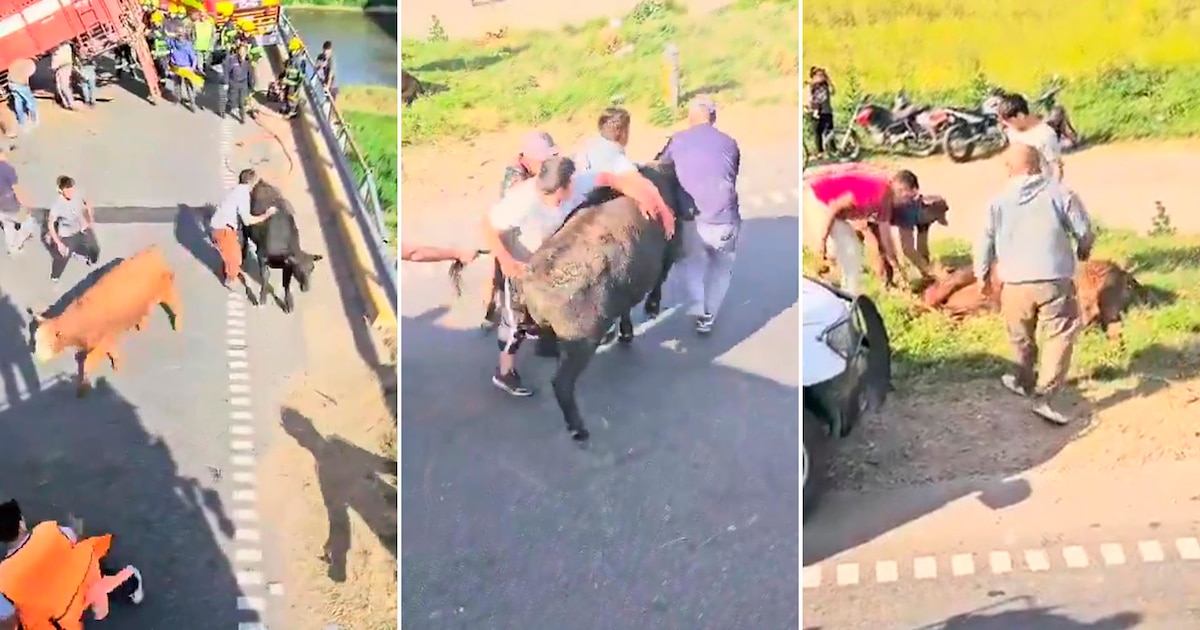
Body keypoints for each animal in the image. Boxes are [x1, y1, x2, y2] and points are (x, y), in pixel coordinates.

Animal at [33, 244, 182, 393]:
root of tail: (153, 249)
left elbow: (90, 361)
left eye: (49, 343)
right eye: (36, 340)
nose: (38, 359)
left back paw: (178, 324)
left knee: (176, 304)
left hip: (166, 290)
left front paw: (85, 385)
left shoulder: (105, 338)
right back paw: (141, 324)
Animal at [242, 178, 324, 312]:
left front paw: (288, 302)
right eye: (299, 270)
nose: (306, 288)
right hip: (245, 225)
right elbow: (265, 277)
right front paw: (262, 298)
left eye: (312, 268)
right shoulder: (262, 256)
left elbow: (286, 283)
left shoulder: (287, 266)